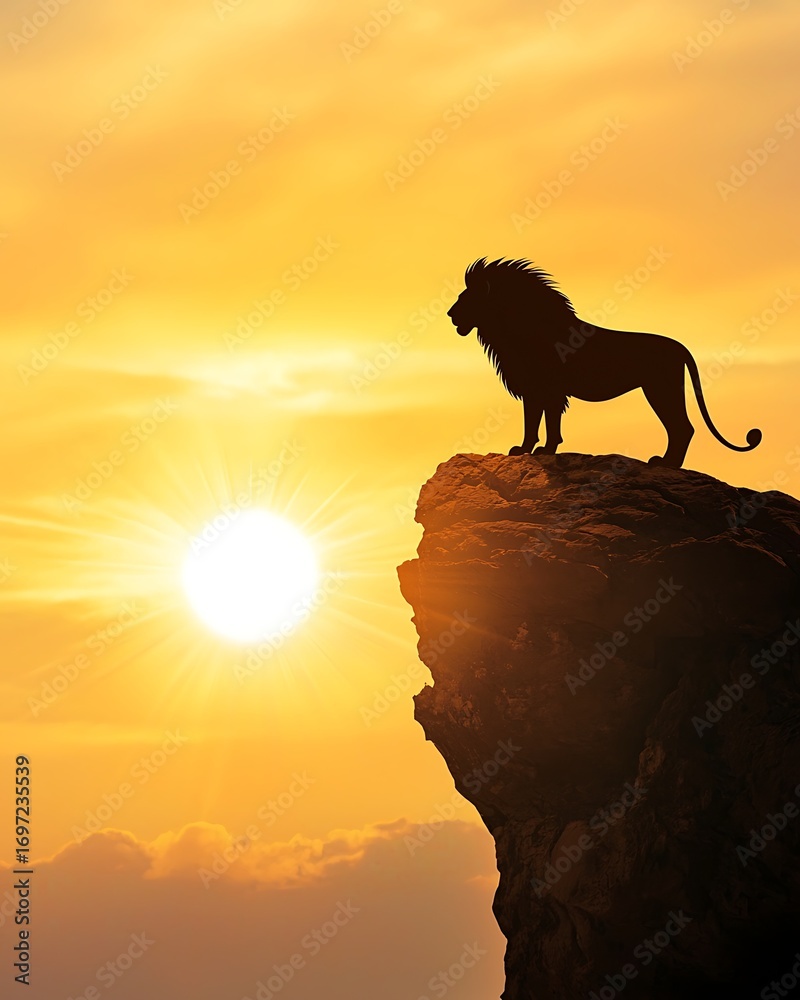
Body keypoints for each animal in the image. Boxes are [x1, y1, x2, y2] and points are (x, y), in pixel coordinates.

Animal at [447, 257, 761, 469]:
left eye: (466, 298)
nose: (450, 314)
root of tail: (679, 346)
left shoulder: (548, 389)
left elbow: (547, 422)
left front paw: (544, 451)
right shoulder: (534, 390)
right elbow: (533, 422)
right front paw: (525, 450)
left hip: (660, 388)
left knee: (683, 428)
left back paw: (665, 464)